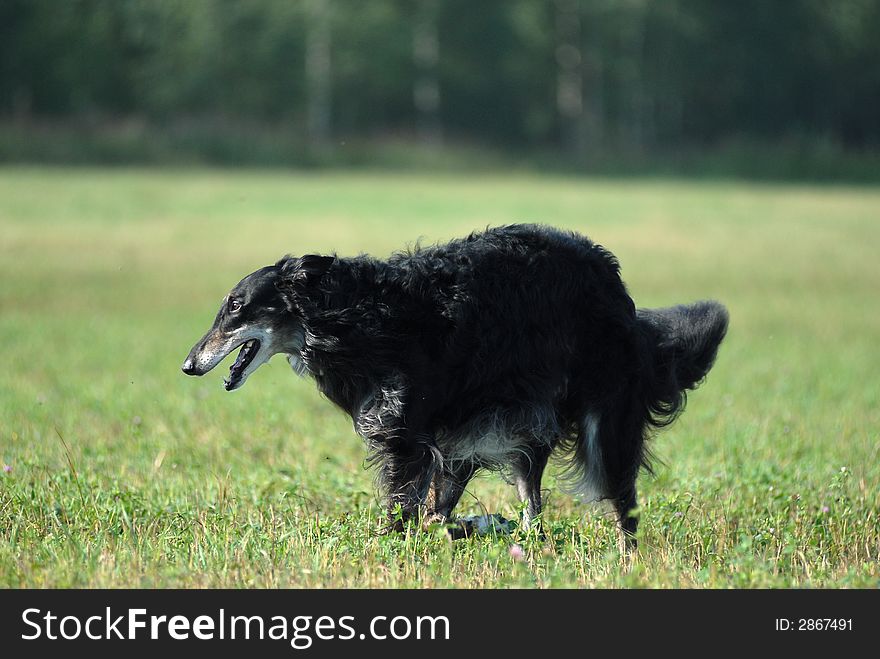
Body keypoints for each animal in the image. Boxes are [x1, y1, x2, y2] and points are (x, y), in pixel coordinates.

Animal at [182, 224, 724, 544]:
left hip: (603, 421)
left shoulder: (407, 435)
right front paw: (464, 528)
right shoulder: (434, 438)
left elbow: (402, 512)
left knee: (621, 505)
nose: (188, 364)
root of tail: (620, 292)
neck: (352, 318)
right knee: (527, 510)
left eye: (236, 305)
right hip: (509, 429)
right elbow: (427, 512)